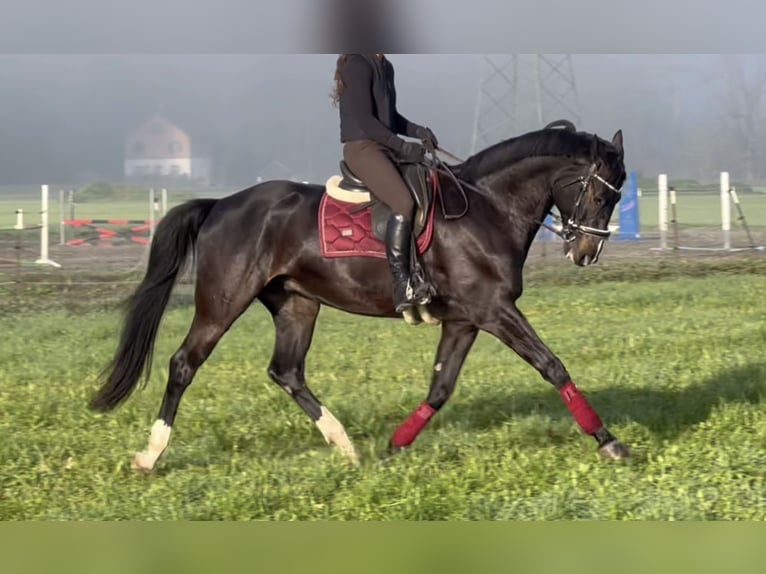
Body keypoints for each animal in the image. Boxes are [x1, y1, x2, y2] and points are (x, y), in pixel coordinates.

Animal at [88, 121, 632, 472]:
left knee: (286, 371)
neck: (486, 209)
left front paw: (395, 447)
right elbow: (552, 365)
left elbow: (440, 387)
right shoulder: (494, 310)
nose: (586, 253)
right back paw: (151, 455)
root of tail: (221, 204)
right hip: (223, 302)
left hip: (297, 304)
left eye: (618, 194)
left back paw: (345, 446)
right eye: (600, 192)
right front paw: (609, 442)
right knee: (184, 363)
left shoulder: (465, 319)